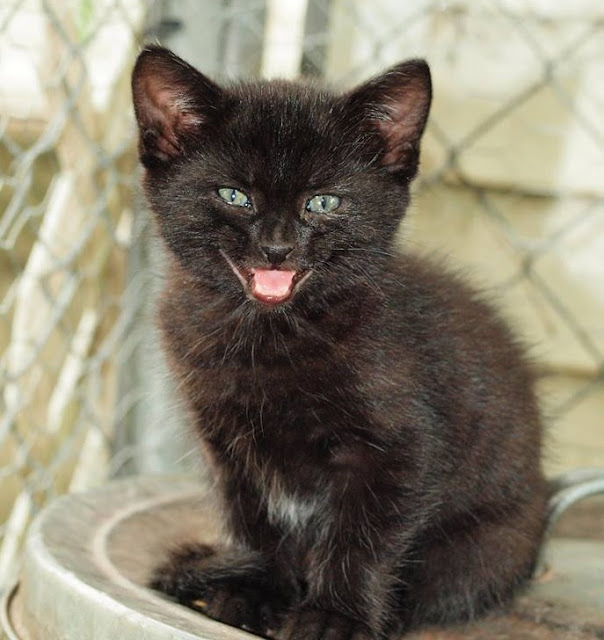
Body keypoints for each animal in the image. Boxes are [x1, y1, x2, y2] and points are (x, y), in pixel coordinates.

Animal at [131, 45, 548, 640]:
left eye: (324, 202)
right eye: (234, 196)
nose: (277, 248)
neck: (270, 337)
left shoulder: (400, 446)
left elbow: (362, 537)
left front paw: (333, 617)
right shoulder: (227, 443)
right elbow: (255, 522)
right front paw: (256, 592)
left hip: (486, 546)